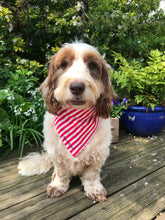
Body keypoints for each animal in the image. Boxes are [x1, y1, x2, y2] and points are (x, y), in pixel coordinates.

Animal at [17, 41, 114, 203]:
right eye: (63, 64)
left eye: (92, 65)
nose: (77, 87)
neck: (76, 117)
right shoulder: (57, 153)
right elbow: (61, 173)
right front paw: (57, 186)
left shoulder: (97, 154)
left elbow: (91, 176)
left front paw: (94, 190)